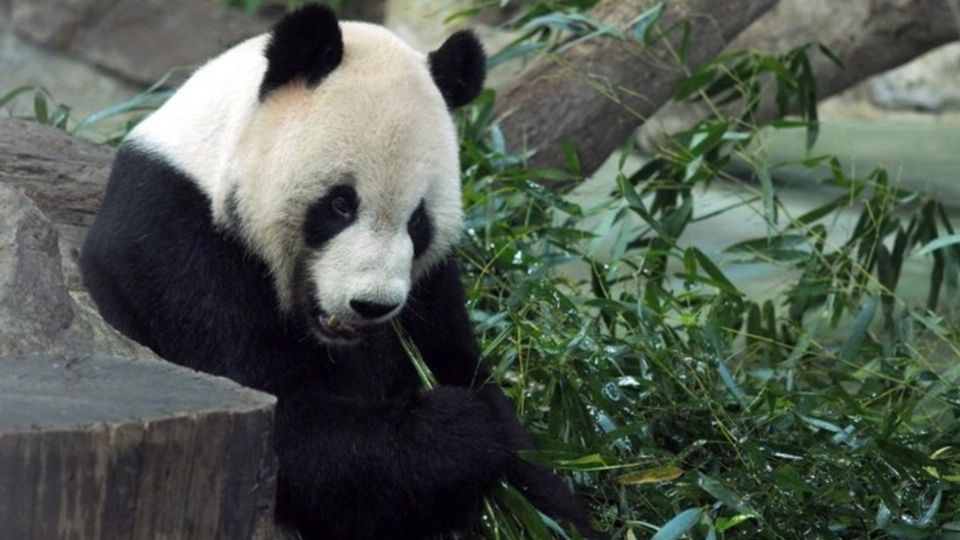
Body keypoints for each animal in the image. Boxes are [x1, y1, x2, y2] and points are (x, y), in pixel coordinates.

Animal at [79, 4, 596, 540]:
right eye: (341, 204)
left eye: (418, 221)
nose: (372, 304)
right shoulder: (176, 243)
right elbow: (281, 424)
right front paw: (462, 425)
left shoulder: (429, 287)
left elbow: (469, 377)